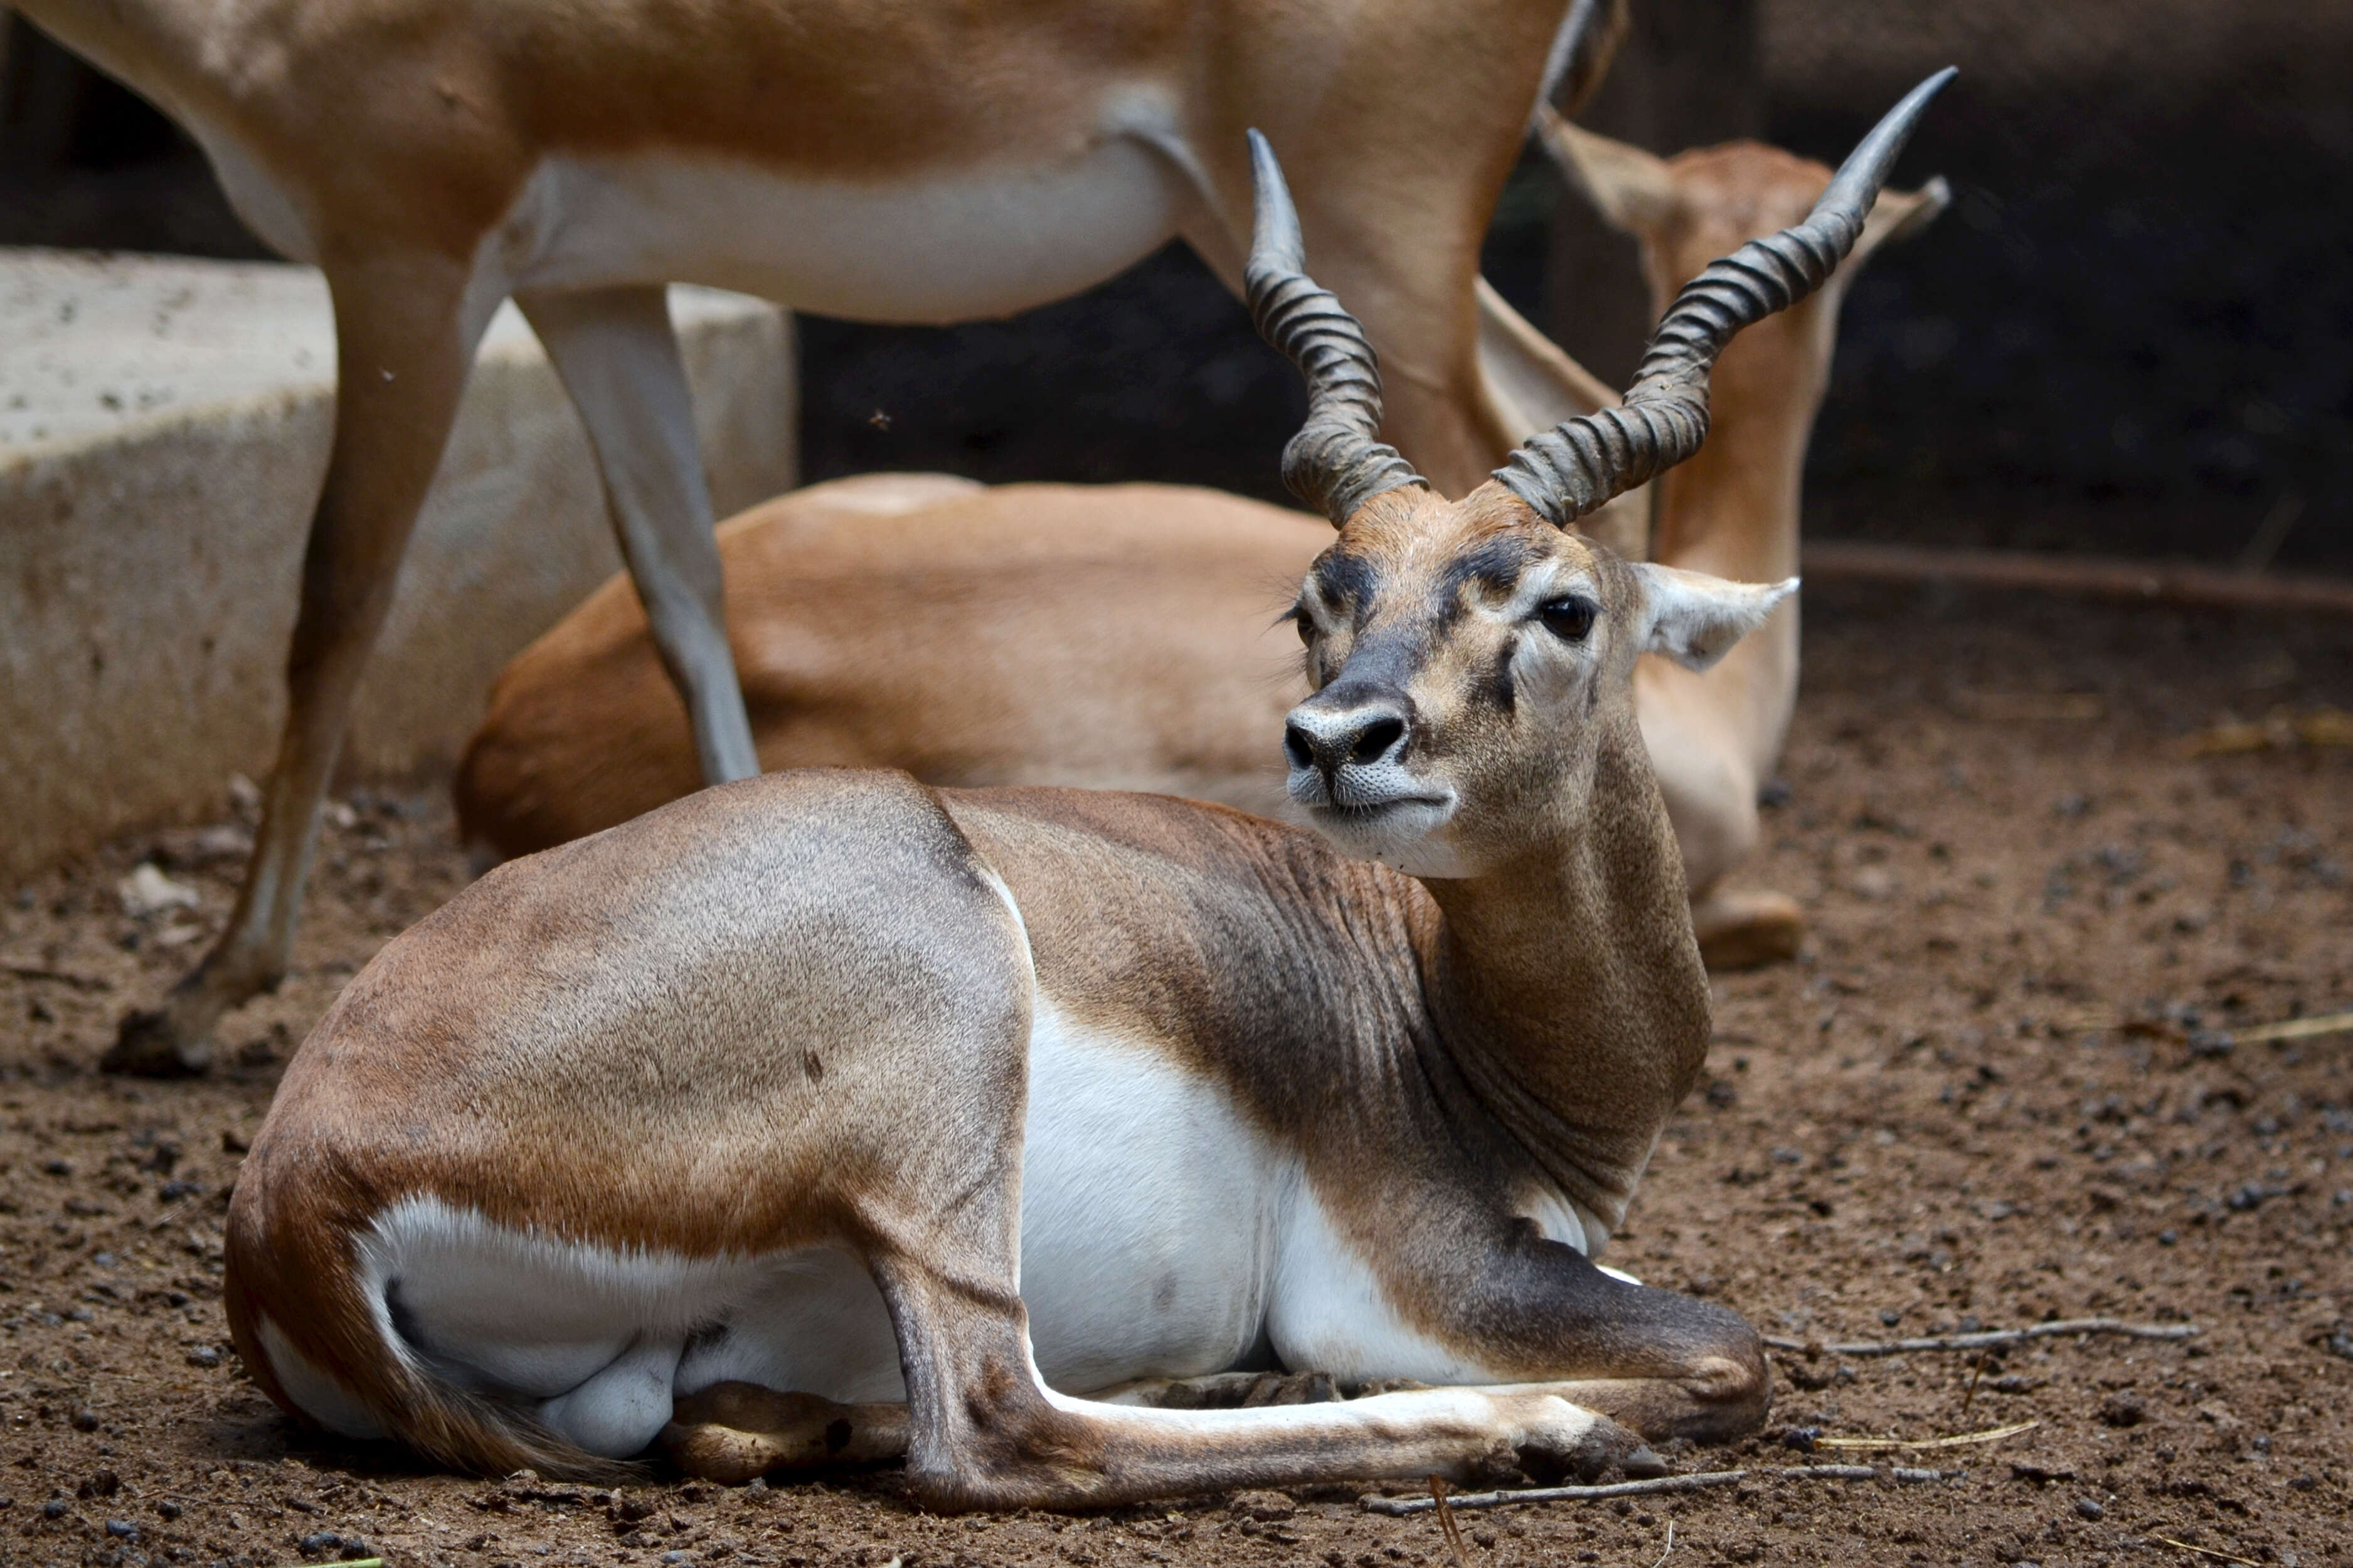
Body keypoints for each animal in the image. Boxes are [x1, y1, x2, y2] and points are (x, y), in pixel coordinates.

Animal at [14, 0, 1656, 1069]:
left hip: (1368, 221)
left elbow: (335, 597)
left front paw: (193, 997)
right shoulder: (588, 285)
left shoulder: (404, 247)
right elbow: (680, 580)